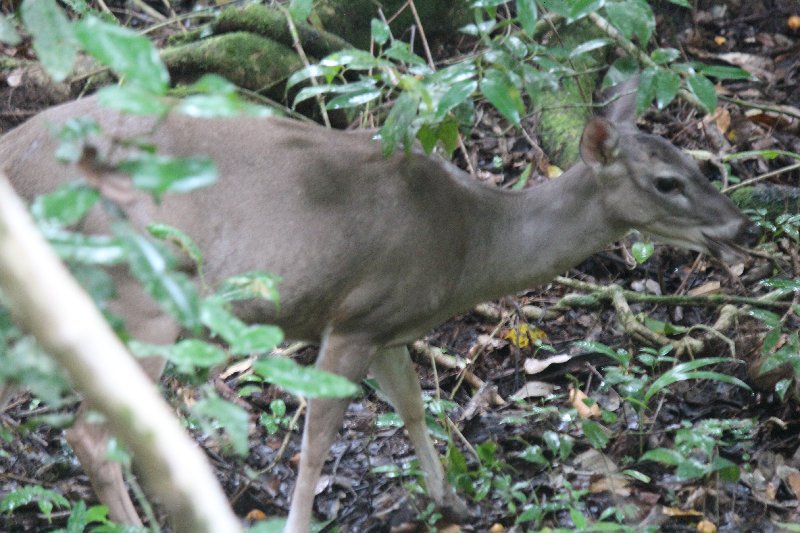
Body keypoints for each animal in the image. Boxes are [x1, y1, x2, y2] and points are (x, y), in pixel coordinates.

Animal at [0, 80, 756, 532]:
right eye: (665, 181)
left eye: (698, 161)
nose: (740, 226)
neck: (468, 245)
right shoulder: (355, 316)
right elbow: (317, 442)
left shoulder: (394, 325)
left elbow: (415, 407)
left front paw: (452, 499)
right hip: (142, 290)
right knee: (90, 435)